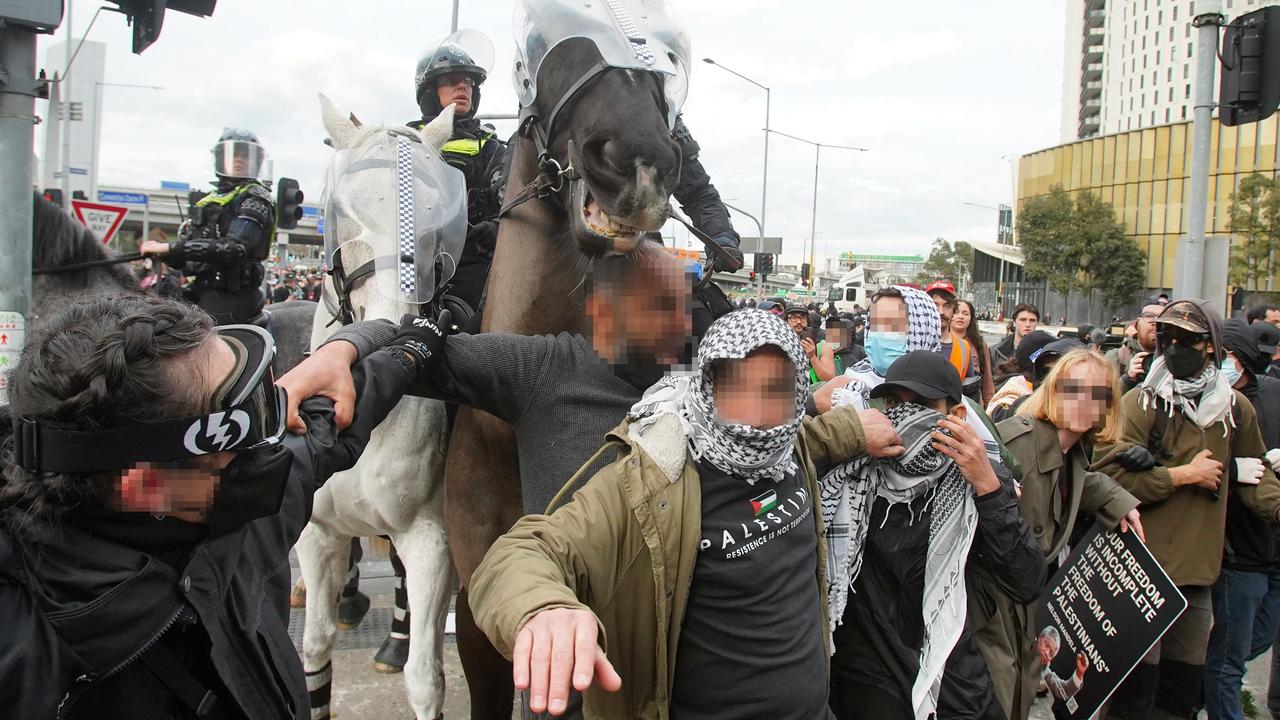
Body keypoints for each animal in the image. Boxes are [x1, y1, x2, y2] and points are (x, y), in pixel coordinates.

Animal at [296, 95, 458, 717]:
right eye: (343, 209)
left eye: (440, 213)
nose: (394, 327)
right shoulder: (316, 534)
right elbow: (314, 648)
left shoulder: (431, 542)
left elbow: (426, 678)